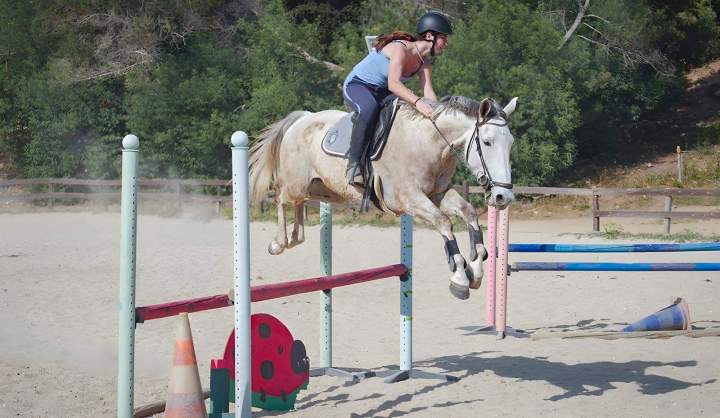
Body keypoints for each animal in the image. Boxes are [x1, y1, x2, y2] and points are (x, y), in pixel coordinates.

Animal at [249, 96, 517, 300]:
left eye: (510, 143)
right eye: (487, 142)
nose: (503, 196)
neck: (428, 143)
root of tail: (301, 118)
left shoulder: (437, 194)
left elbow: (468, 212)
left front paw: (476, 270)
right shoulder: (408, 198)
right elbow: (443, 221)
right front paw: (460, 277)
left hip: (319, 188)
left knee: (297, 204)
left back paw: (296, 236)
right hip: (297, 183)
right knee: (281, 198)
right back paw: (279, 243)